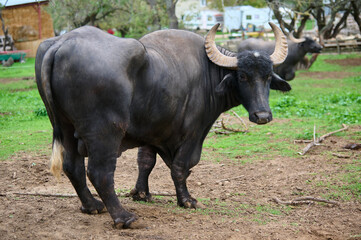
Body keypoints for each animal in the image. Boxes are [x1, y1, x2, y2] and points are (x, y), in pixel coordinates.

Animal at [35, 22, 290, 229]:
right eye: (243, 76)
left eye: (268, 76)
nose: (262, 115)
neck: (208, 74)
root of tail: (62, 43)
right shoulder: (193, 132)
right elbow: (181, 167)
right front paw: (186, 200)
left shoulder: (152, 131)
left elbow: (146, 162)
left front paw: (142, 193)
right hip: (105, 133)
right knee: (100, 173)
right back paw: (124, 217)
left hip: (65, 127)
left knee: (72, 166)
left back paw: (91, 205)